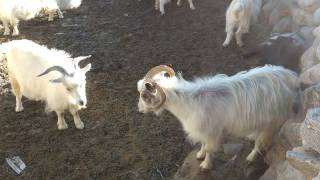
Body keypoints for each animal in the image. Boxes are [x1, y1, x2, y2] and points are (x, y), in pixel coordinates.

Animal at [137, 64, 300, 170]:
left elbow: (209, 149)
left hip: (273, 121)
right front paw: (200, 155)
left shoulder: (211, 131)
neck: (188, 101)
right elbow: (203, 144)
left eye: (144, 95)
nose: (139, 111)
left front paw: (205, 165)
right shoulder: (204, 129)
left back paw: (251, 157)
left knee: (261, 142)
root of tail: (289, 77)